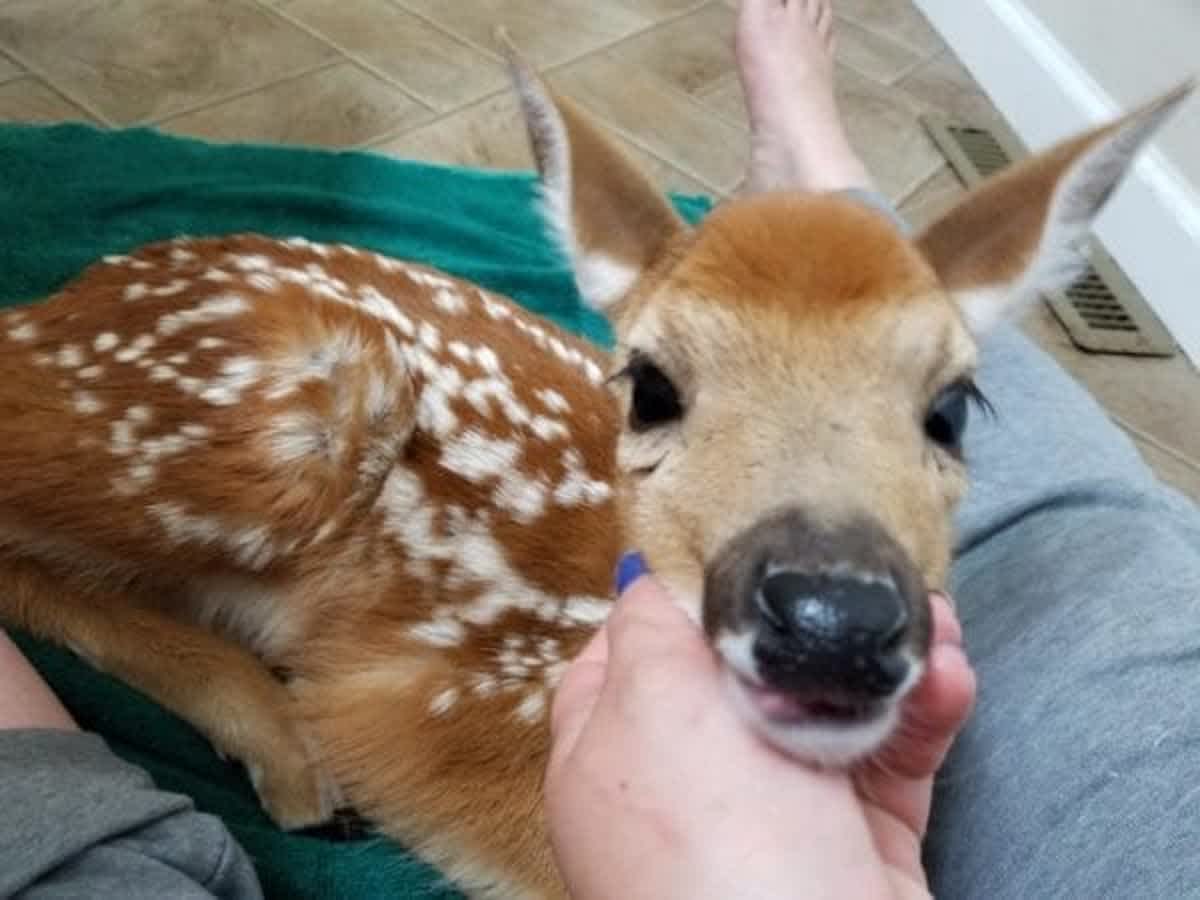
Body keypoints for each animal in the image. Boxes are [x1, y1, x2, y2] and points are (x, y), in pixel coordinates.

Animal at [0, 39, 1190, 898]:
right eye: (652, 385)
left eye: (951, 408)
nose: (835, 620)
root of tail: (42, 312)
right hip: (286, 410)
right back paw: (294, 757)